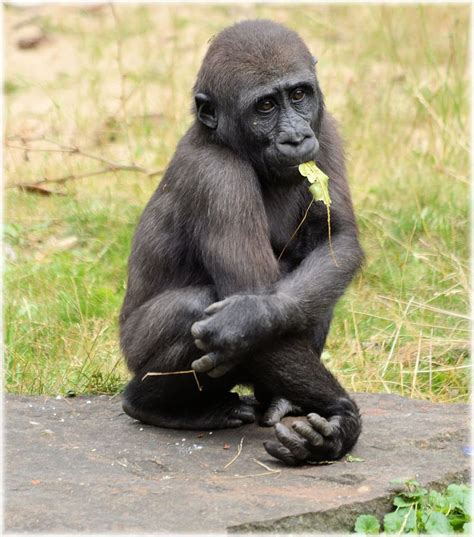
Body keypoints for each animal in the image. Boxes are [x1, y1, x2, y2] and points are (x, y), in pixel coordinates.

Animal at [118, 19, 362, 464]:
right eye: (264, 107)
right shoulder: (217, 176)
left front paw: (251, 317)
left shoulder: (326, 129)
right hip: (132, 349)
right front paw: (343, 414)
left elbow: (335, 243)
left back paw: (279, 401)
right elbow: (246, 304)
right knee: (193, 308)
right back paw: (151, 405)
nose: (296, 137)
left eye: (298, 95)